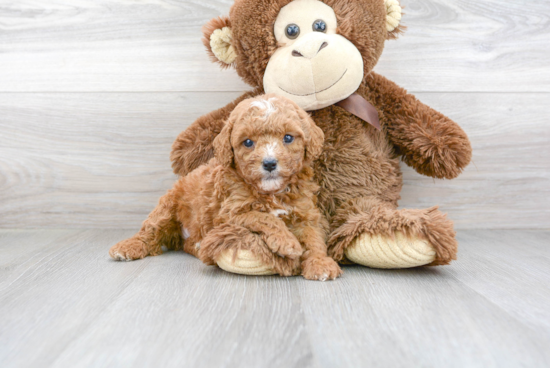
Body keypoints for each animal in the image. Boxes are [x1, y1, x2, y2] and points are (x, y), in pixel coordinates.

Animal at [109, 95, 342, 282]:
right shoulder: (229, 213)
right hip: (167, 206)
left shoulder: (306, 213)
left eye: (288, 137)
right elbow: (264, 217)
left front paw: (320, 263)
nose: (269, 163)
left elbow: (314, 238)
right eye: (247, 142)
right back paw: (127, 247)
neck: (272, 192)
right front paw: (286, 242)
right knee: (150, 230)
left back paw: (198, 246)